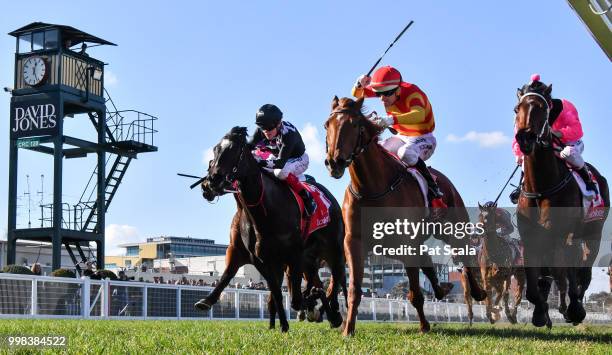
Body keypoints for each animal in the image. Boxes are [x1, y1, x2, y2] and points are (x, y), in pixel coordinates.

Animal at [196, 127, 350, 330]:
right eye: (215, 150)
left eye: (234, 150)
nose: (210, 183)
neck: (266, 210)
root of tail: (329, 197)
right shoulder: (258, 257)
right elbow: (273, 292)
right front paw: (282, 326)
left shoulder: (293, 255)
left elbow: (295, 297)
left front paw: (309, 306)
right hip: (310, 258)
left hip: (334, 249)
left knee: (339, 278)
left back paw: (335, 314)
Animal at [322, 97, 486, 336]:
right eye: (327, 124)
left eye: (354, 124)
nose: (335, 162)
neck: (373, 187)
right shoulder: (354, 241)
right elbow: (354, 288)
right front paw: (347, 329)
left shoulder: (407, 242)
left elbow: (416, 292)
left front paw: (424, 326)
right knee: (428, 261)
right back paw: (442, 288)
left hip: (452, 228)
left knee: (465, 256)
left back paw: (478, 292)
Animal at [512, 83, 608, 328]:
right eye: (517, 108)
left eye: (542, 108)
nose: (524, 138)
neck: (542, 186)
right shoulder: (531, 235)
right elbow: (535, 284)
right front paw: (540, 313)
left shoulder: (558, 233)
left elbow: (564, 272)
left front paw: (570, 309)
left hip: (592, 232)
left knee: (582, 270)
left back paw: (576, 308)